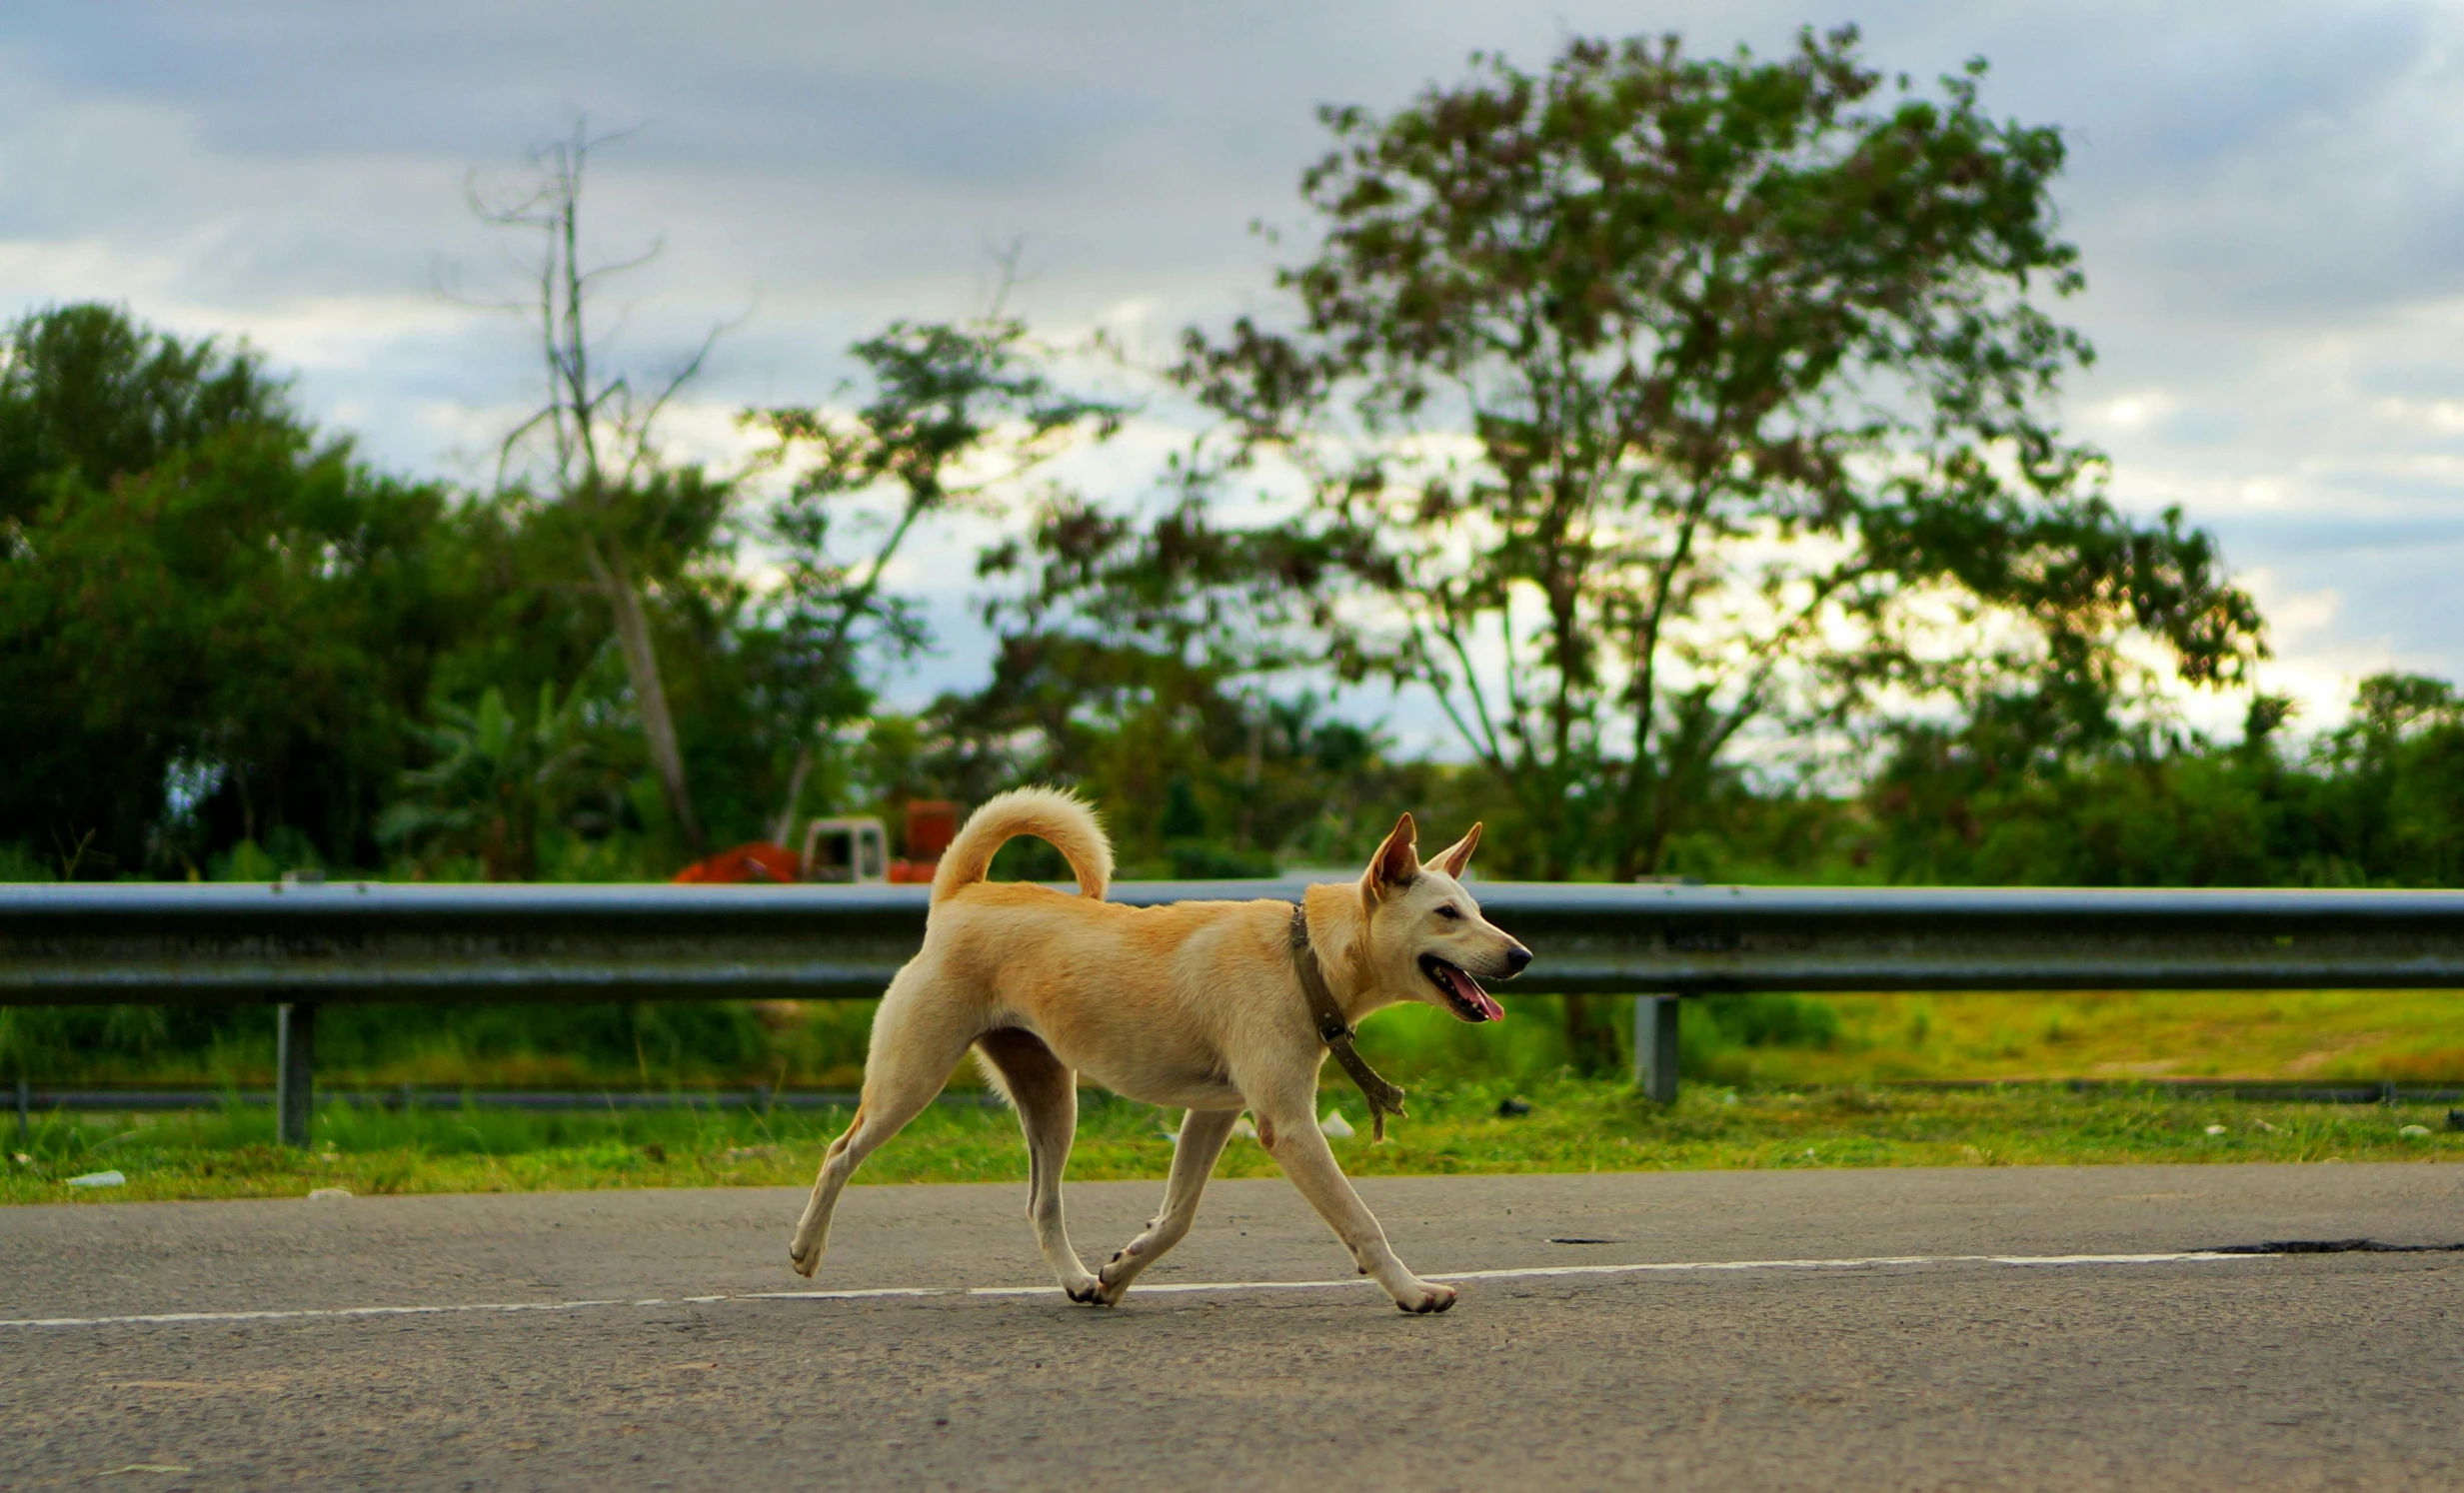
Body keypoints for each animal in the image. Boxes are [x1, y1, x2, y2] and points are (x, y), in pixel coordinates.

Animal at [788, 787, 1527, 1320]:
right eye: (1446, 914)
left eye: (1476, 908)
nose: (1522, 955)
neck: (1306, 955)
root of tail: (963, 893)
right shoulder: (1287, 1127)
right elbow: (1361, 1220)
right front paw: (1413, 1291)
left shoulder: (1215, 1114)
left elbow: (1175, 1219)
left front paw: (1119, 1272)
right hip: (911, 1078)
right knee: (838, 1153)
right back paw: (805, 1248)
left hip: (1051, 1099)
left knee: (1041, 1206)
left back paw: (1079, 1280)